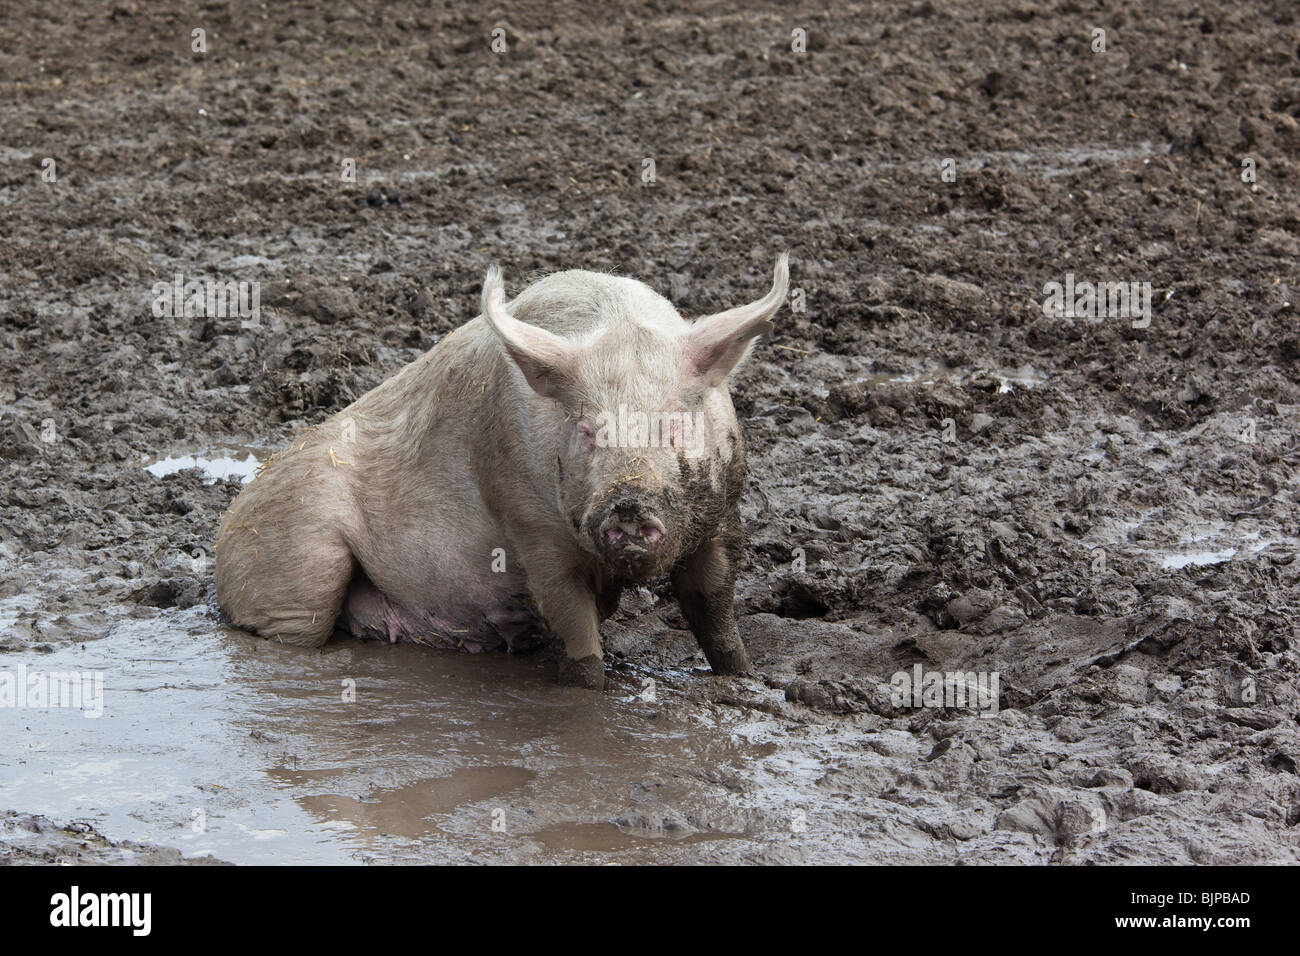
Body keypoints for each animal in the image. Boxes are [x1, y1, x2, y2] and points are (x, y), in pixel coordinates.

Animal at [214, 254, 789, 690]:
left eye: (674, 425)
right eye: (586, 429)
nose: (628, 506)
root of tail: (229, 519)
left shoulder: (722, 516)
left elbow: (714, 610)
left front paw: (748, 681)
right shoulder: (530, 527)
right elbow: (576, 632)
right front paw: (590, 695)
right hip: (301, 561)